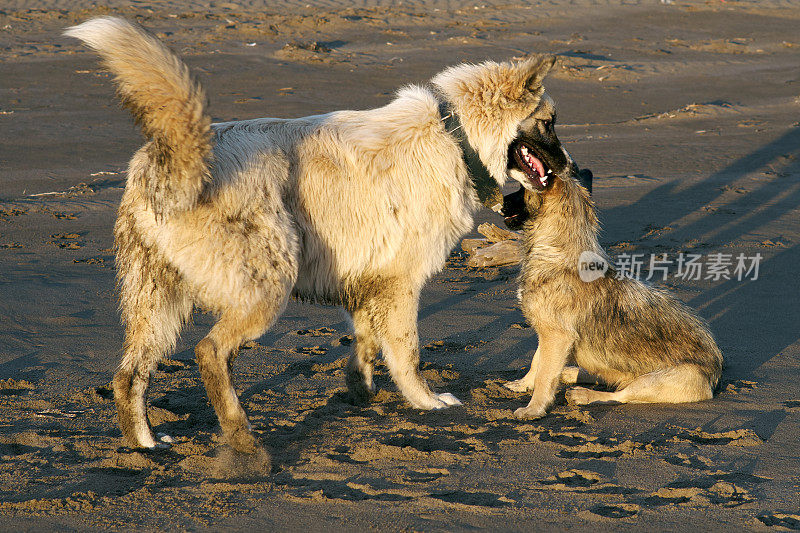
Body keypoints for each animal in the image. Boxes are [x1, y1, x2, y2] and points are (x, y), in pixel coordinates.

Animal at [504, 168, 720, 418]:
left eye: (520, 189)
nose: (499, 201)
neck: (556, 252)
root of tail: (716, 372)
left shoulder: (556, 336)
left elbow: (544, 375)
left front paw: (534, 408)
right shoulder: (548, 333)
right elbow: (536, 362)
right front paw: (524, 384)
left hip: (657, 380)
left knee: (621, 394)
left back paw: (584, 395)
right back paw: (571, 373)